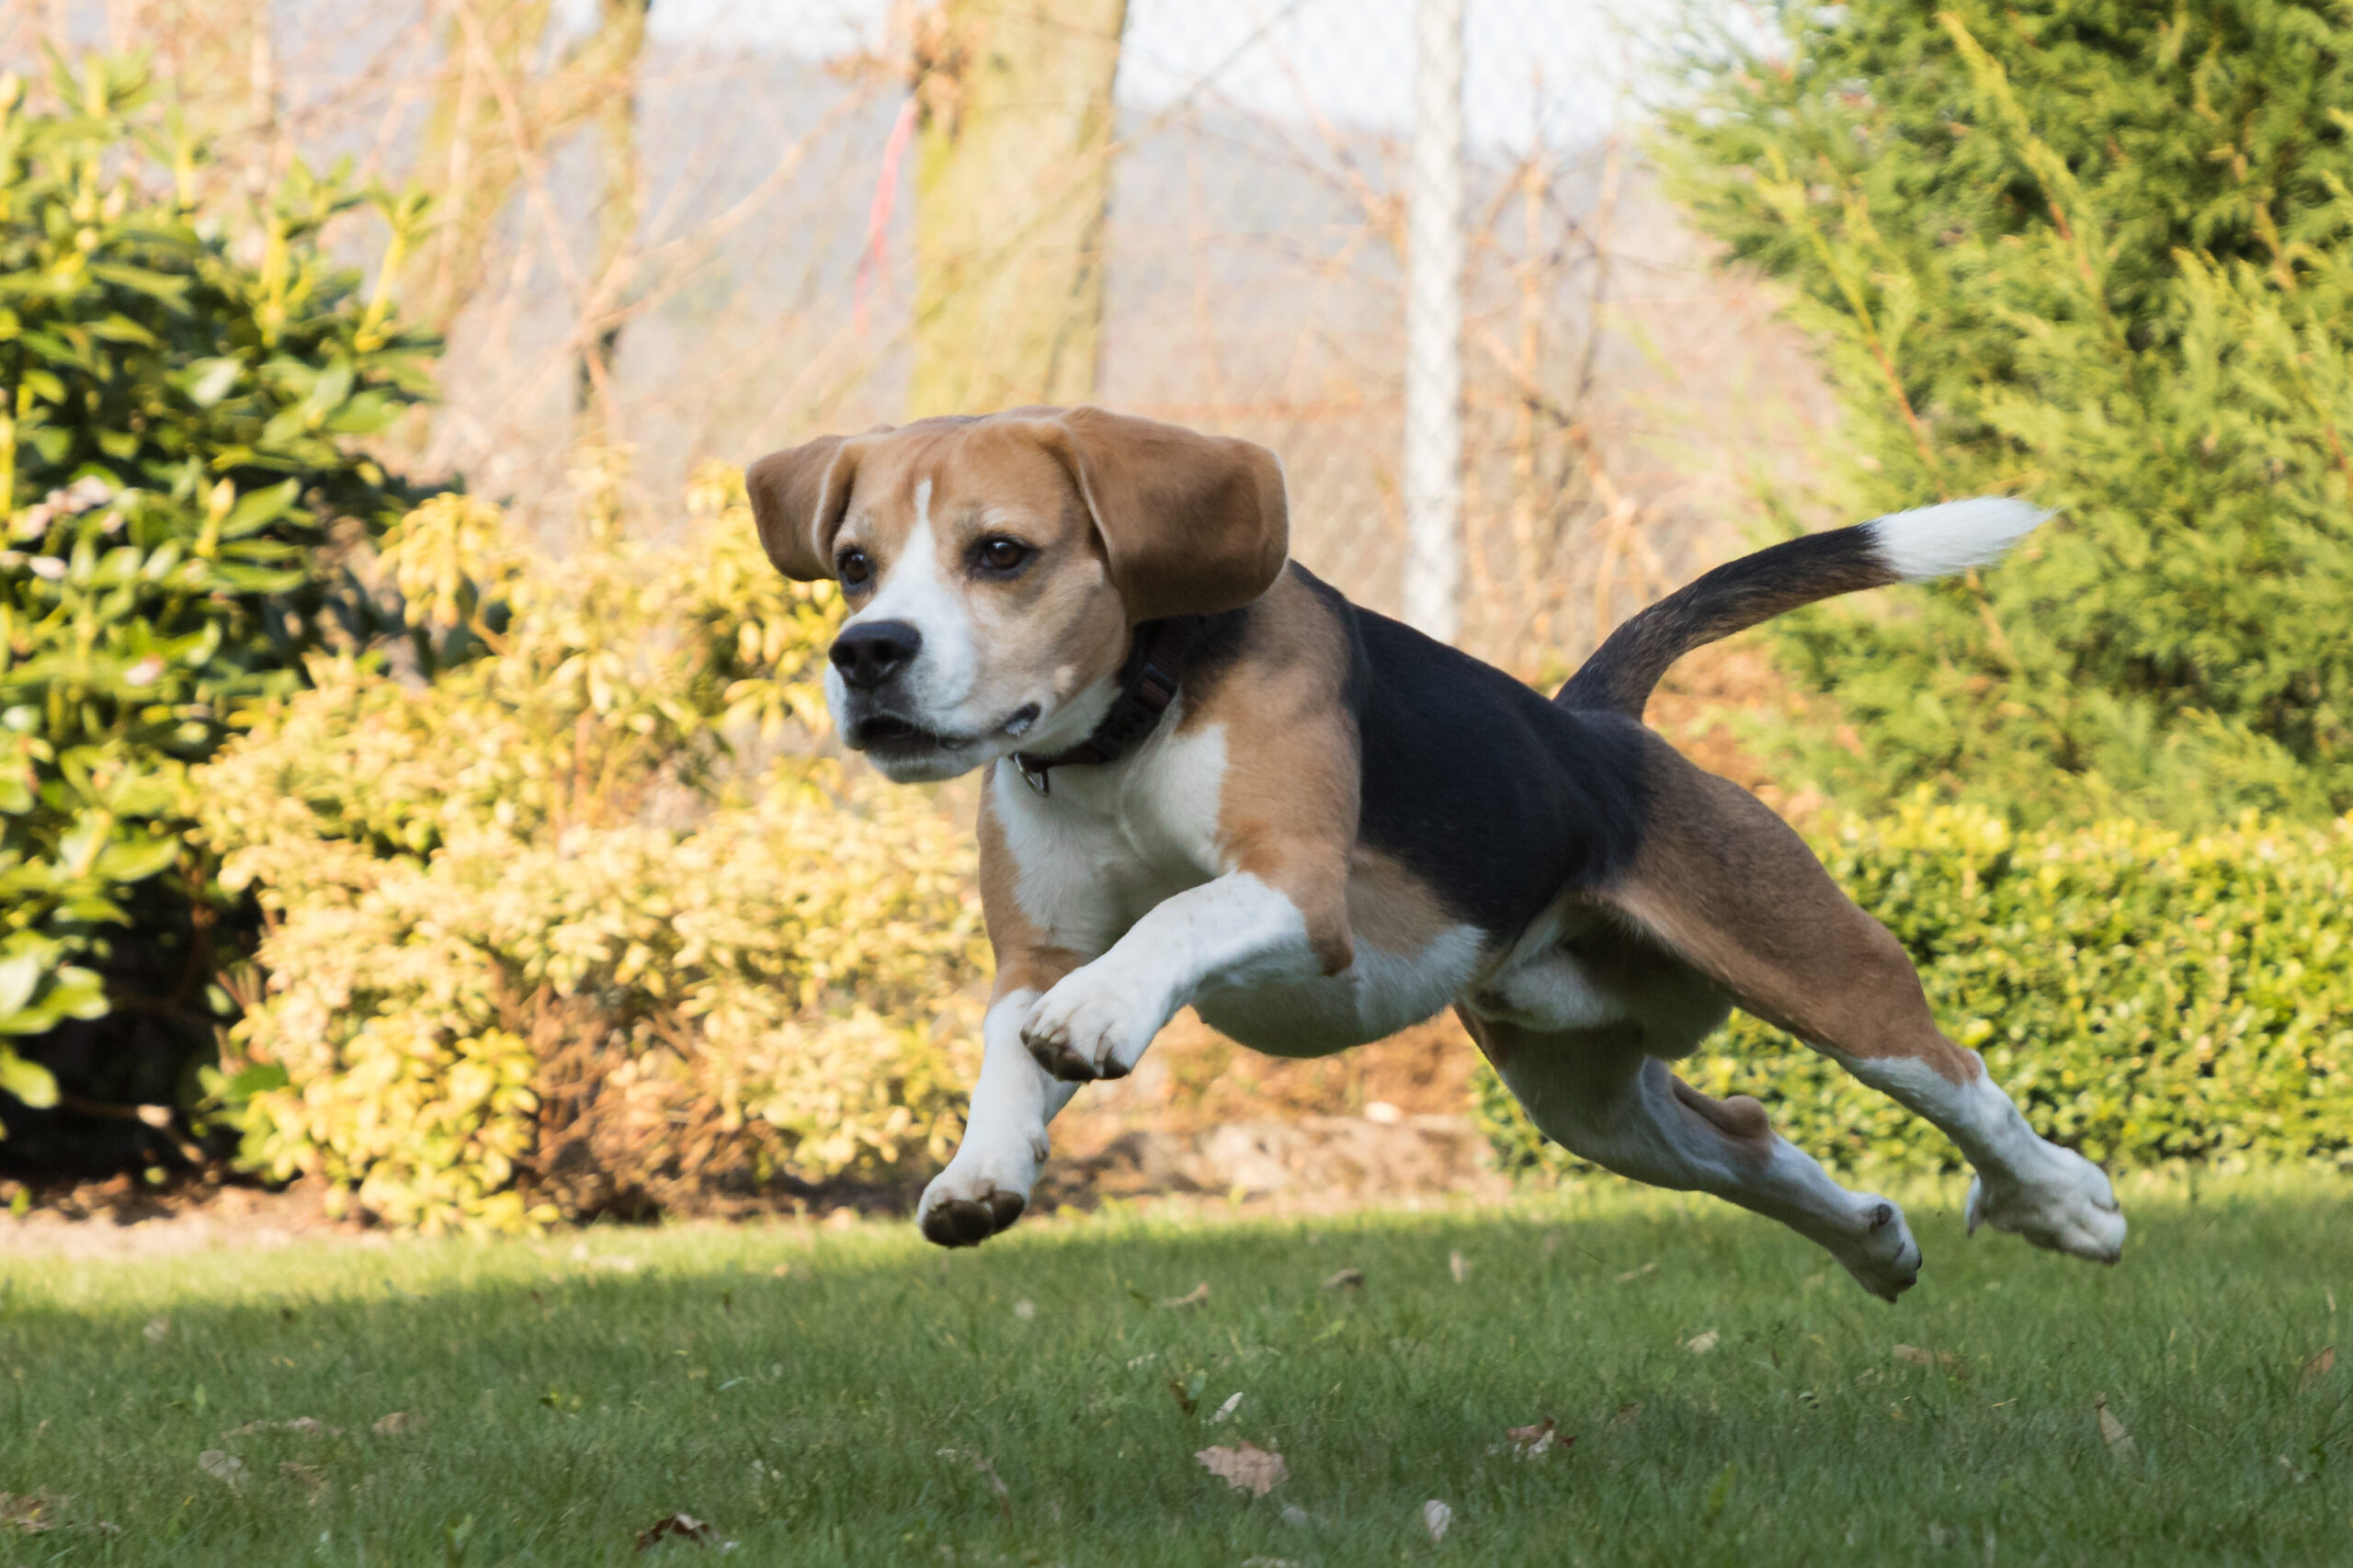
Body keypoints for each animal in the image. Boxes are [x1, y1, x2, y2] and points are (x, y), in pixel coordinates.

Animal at [753, 404, 2136, 1290]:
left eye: (1001, 553)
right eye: (854, 564)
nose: (866, 653)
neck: (1126, 727)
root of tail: (1594, 725)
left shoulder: (1296, 891)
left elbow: (1173, 919)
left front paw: (1102, 1012)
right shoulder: (1032, 949)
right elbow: (1006, 1042)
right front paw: (984, 1168)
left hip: (1820, 968)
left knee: (1961, 1082)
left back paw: (2065, 1203)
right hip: (1588, 1099)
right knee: (1747, 1139)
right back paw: (1875, 1243)